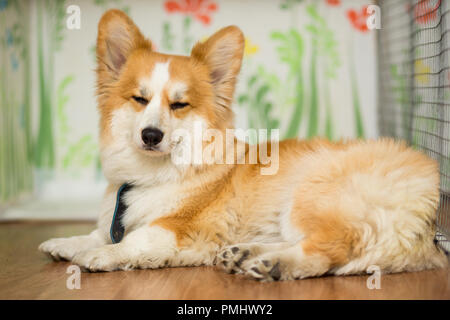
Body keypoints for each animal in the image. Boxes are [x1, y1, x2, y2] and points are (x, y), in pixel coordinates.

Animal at [39, 9, 446, 280]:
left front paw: (102, 254)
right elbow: (95, 233)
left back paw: (275, 264)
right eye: (139, 99)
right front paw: (65, 243)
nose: (150, 135)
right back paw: (245, 253)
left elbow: (132, 240)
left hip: (310, 193)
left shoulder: (178, 228)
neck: (153, 174)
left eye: (179, 105)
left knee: (327, 248)